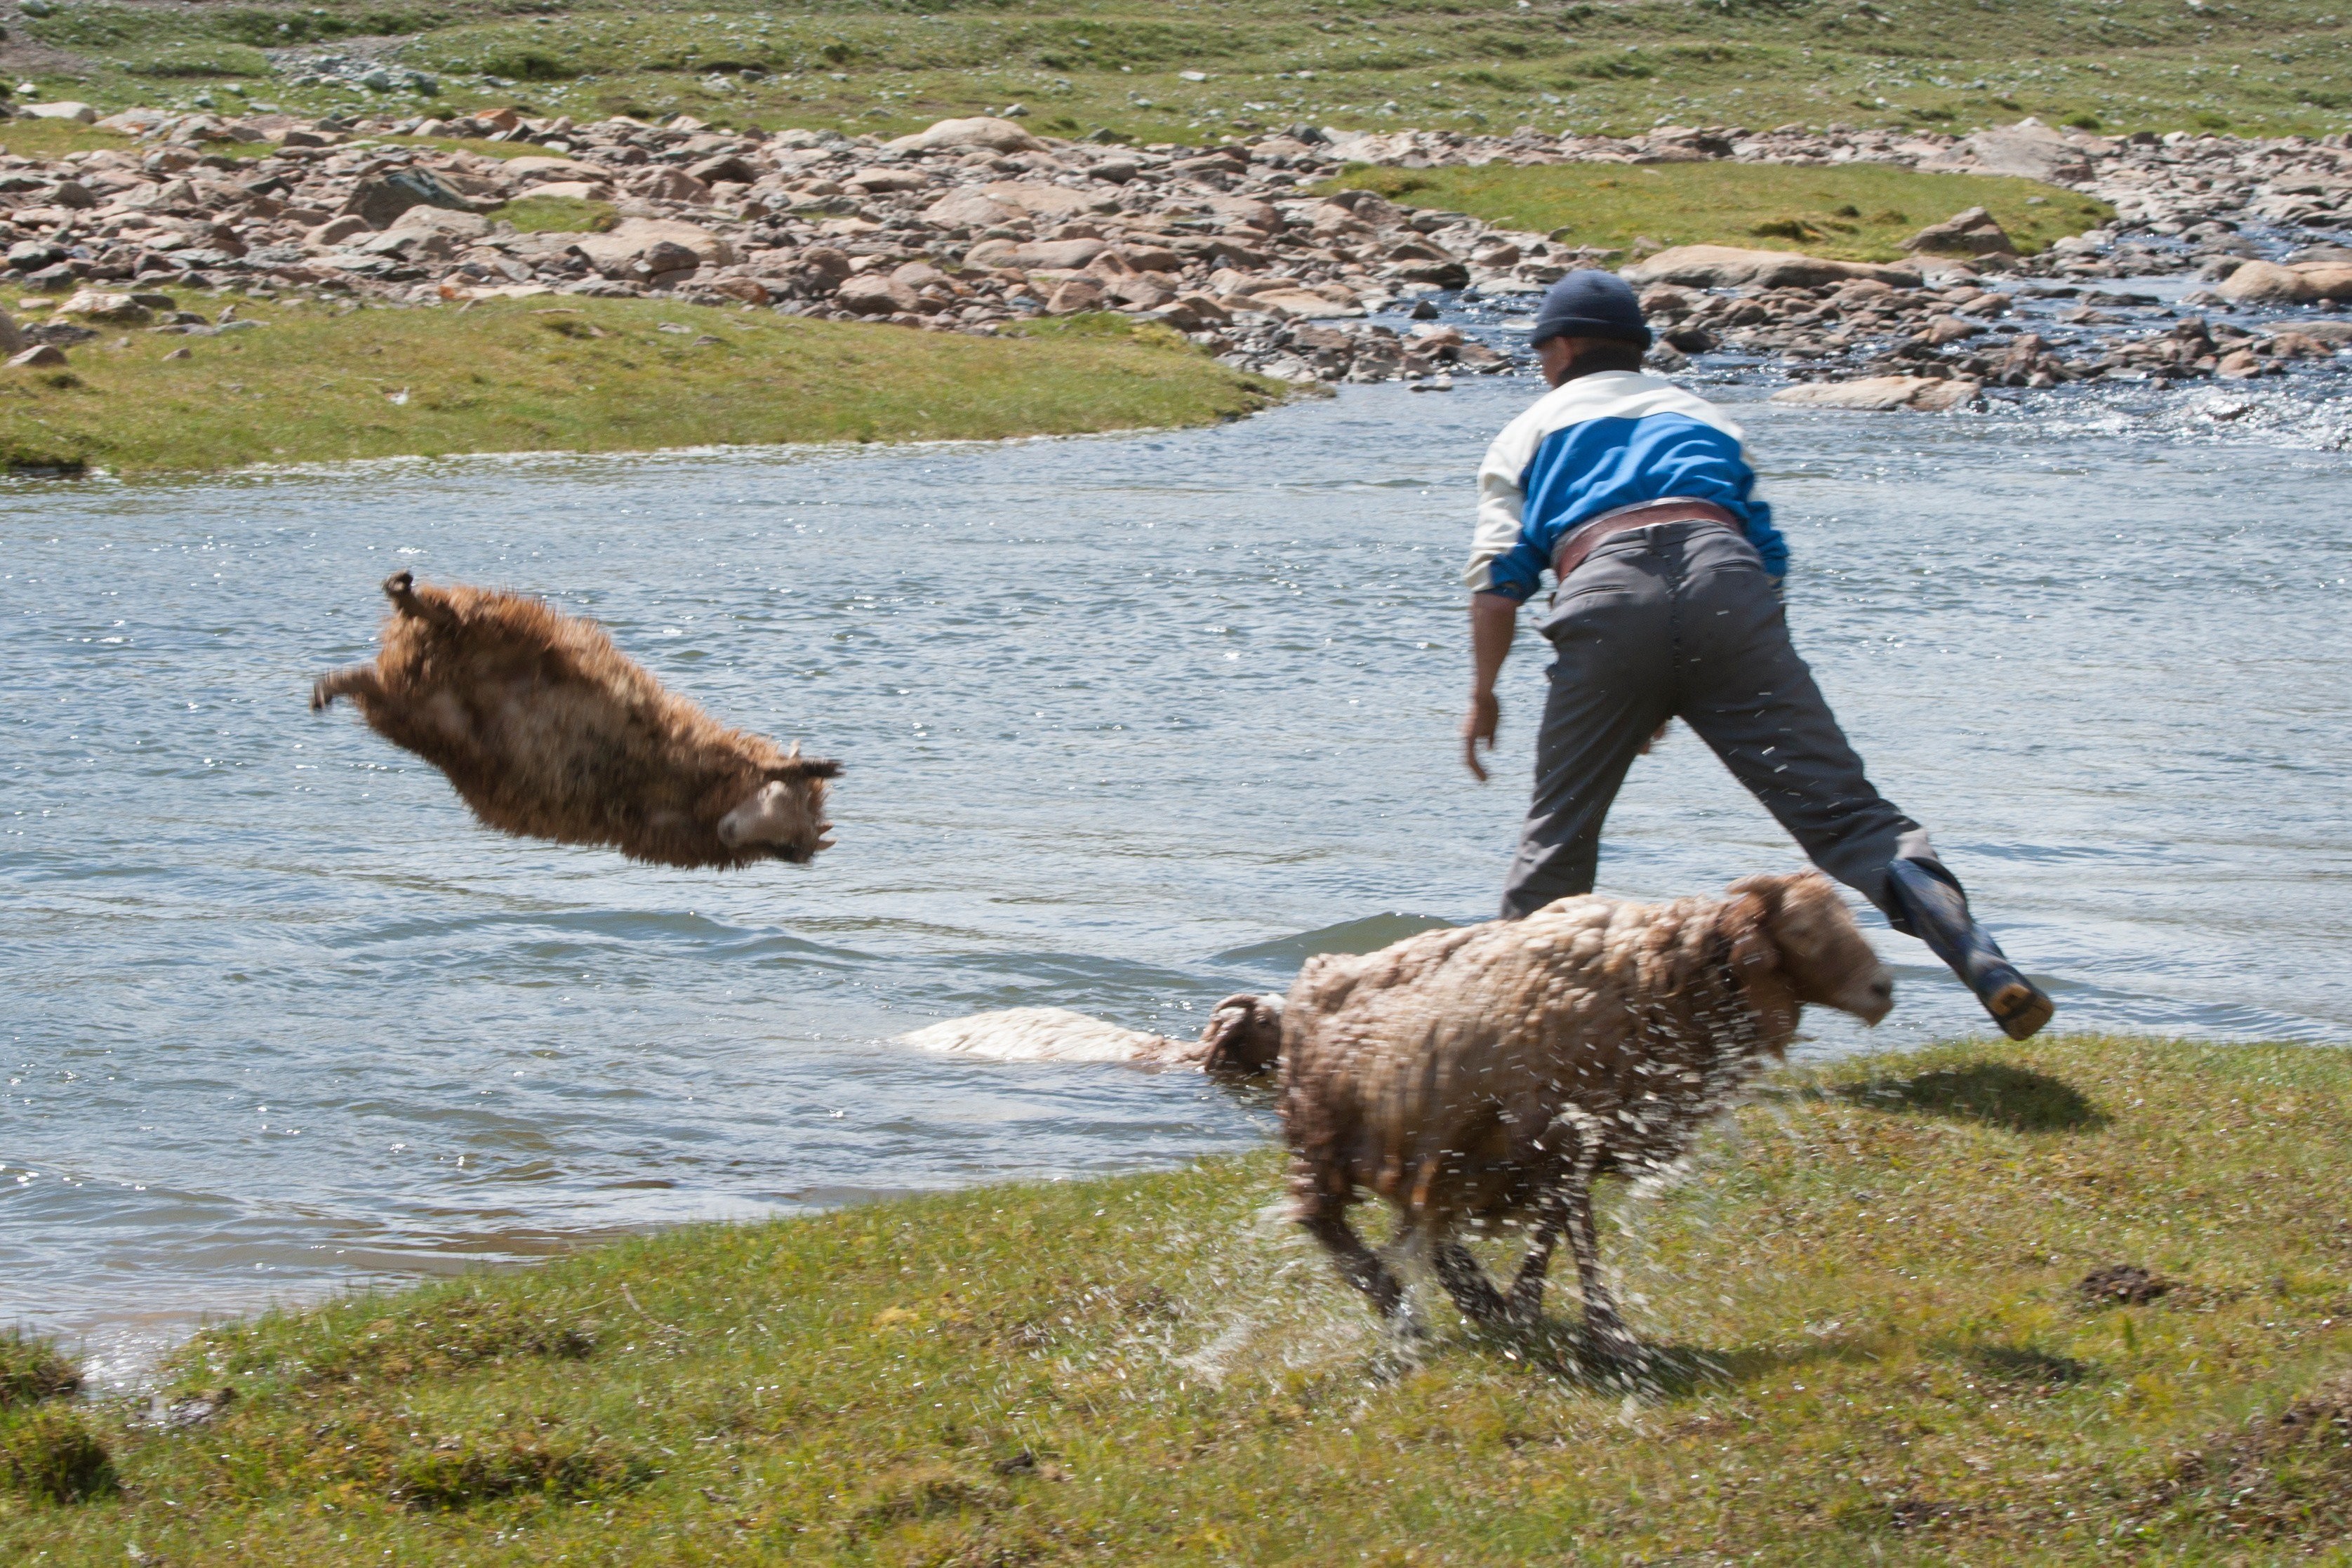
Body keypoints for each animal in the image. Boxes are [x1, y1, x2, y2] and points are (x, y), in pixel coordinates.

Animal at [1270, 879, 1891, 1344]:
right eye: (1803, 931)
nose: (1883, 989)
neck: (1660, 968)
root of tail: (1311, 978)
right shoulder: (1554, 1126)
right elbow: (1570, 1220)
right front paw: (1561, 1315)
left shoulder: (1577, 1135)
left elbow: (1564, 1218)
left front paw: (1553, 1313)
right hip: (1323, 1139)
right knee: (1329, 1227)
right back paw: (1400, 1309)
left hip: (1422, 1145)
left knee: (1424, 1221)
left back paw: (1463, 1294)